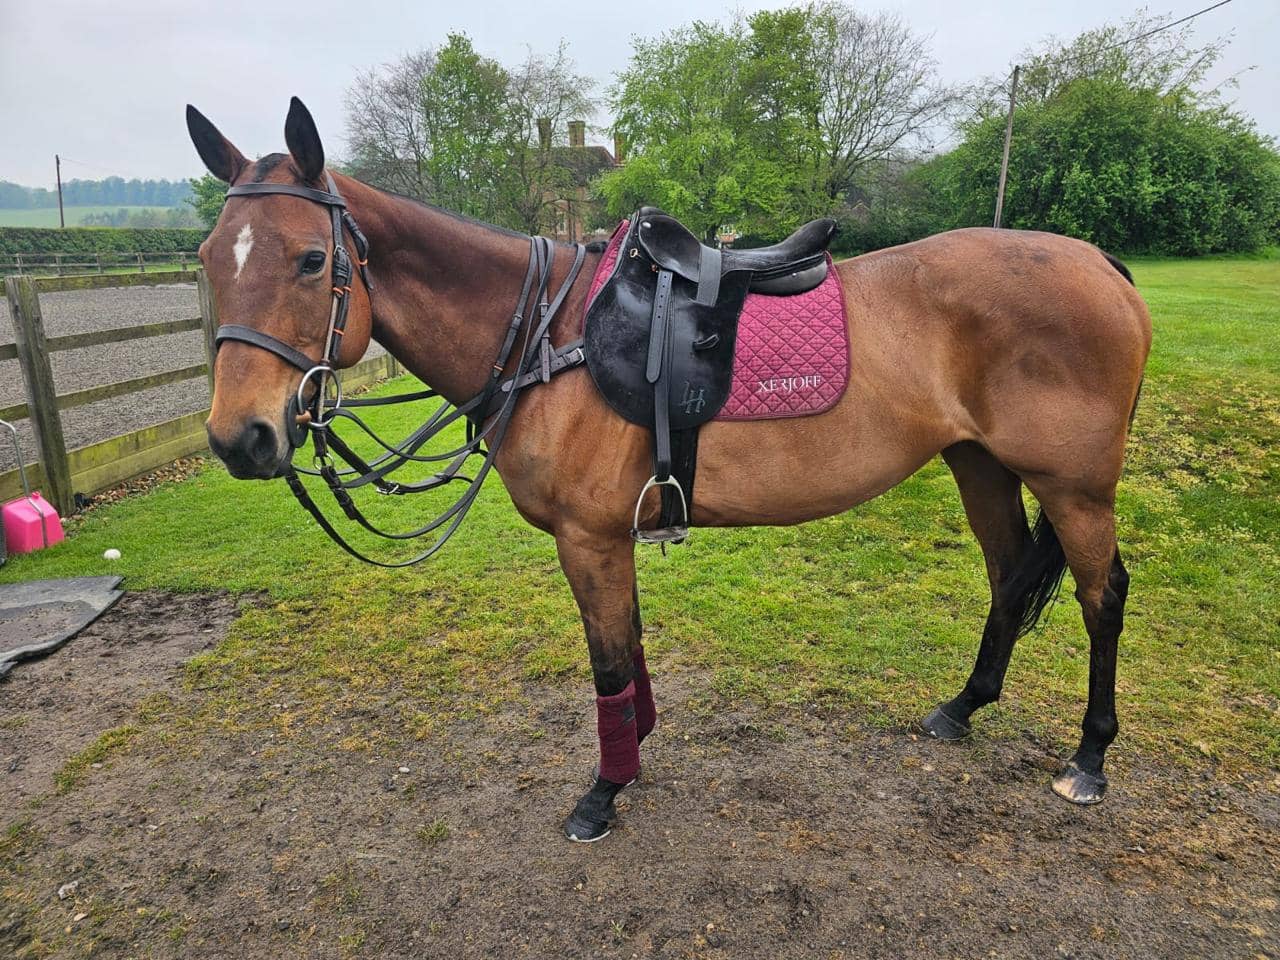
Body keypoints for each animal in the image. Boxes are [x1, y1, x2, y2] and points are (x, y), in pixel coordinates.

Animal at [187, 98, 1151, 842]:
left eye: (313, 259)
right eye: (205, 260)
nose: (241, 438)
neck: (552, 336)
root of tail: (1102, 264)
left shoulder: (588, 538)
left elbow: (609, 663)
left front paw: (603, 792)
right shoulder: (614, 535)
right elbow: (632, 648)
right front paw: (637, 750)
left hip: (1074, 487)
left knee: (1102, 596)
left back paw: (1089, 757)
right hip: (980, 465)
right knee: (1008, 578)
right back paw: (963, 707)